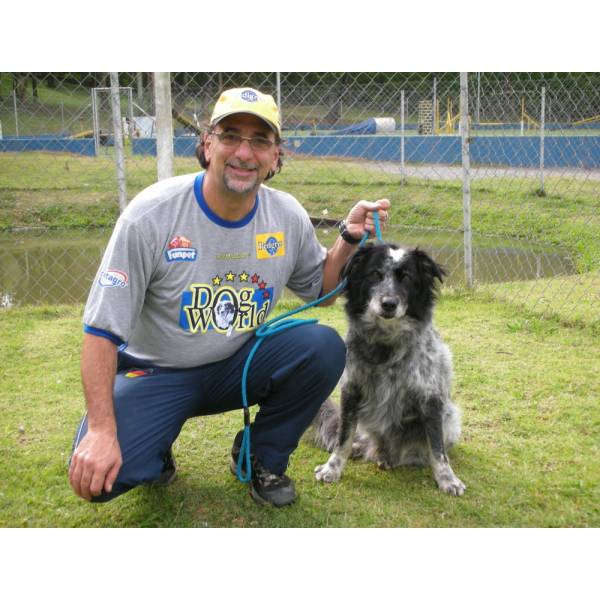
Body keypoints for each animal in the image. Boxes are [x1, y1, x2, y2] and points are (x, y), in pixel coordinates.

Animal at [312, 241, 466, 494]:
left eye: (407, 278)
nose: (389, 304)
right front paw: (333, 468)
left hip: (450, 417)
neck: (386, 343)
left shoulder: (430, 397)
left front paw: (447, 478)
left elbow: (437, 448)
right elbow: (344, 436)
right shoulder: (351, 390)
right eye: (375, 274)